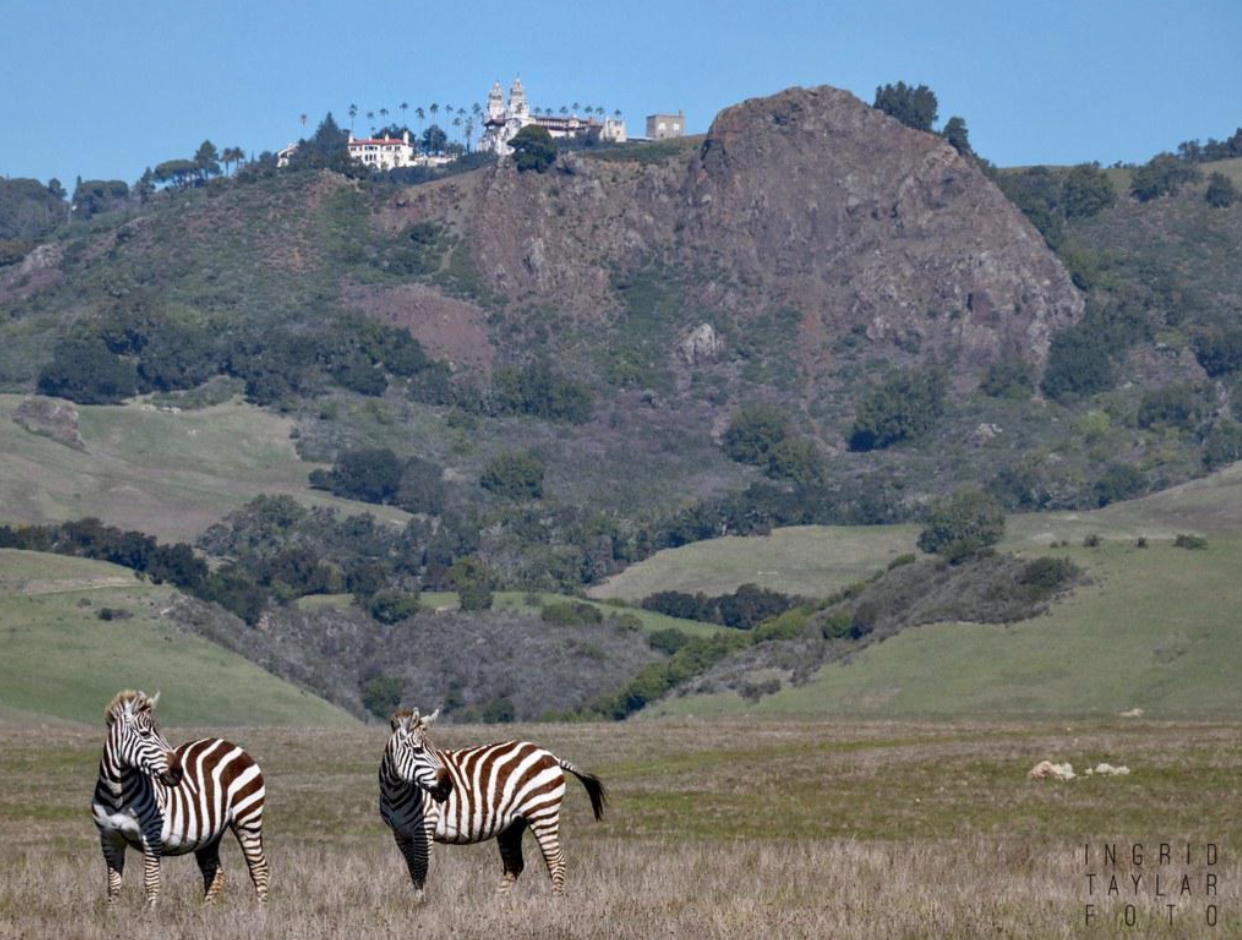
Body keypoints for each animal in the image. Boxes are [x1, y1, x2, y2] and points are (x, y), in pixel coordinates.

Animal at [90, 690, 269, 903]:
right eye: (145, 734)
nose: (178, 772)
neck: (117, 794)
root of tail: (232, 745)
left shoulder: (151, 834)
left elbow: (151, 882)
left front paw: (150, 912)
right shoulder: (109, 837)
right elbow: (113, 885)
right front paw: (112, 911)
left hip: (247, 818)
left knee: (259, 868)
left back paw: (260, 909)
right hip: (210, 833)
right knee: (214, 872)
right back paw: (205, 909)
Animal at [380, 705, 608, 899]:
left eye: (434, 750)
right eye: (418, 750)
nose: (447, 787)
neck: (395, 790)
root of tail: (550, 755)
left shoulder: (424, 827)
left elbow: (420, 869)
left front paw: (420, 905)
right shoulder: (400, 834)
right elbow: (413, 871)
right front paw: (416, 901)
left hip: (542, 812)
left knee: (555, 861)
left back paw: (555, 903)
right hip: (513, 824)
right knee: (515, 865)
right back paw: (497, 903)